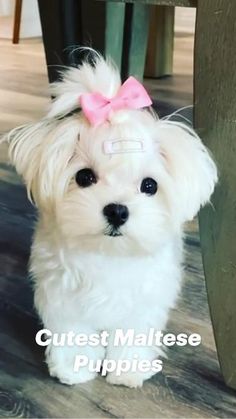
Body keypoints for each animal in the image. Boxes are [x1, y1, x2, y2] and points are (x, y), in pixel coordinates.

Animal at [7, 54, 218, 388]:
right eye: (84, 177)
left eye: (149, 185)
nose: (117, 211)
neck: (109, 254)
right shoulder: (63, 296)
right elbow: (74, 332)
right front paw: (75, 367)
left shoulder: (144, 300)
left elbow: (133, 332)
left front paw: (128, 369)